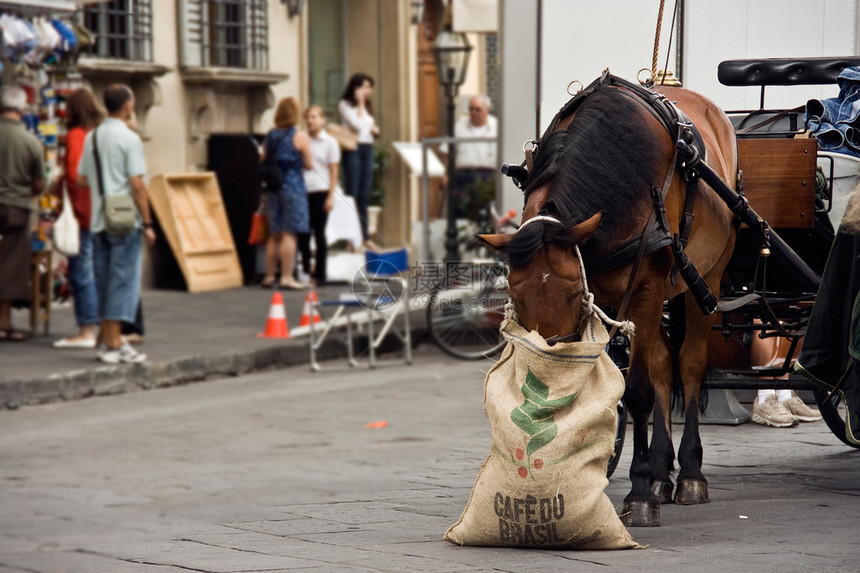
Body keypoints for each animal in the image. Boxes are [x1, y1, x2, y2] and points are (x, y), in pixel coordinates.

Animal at [480, 77, 736, 528]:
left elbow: (637, 391)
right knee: (664, 367)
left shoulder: (646, 290)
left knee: (688, 365)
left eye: (570, 292)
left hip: (706, 280)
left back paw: (688, 473)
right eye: (515, 295)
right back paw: (662, 474)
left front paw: (638, 493)